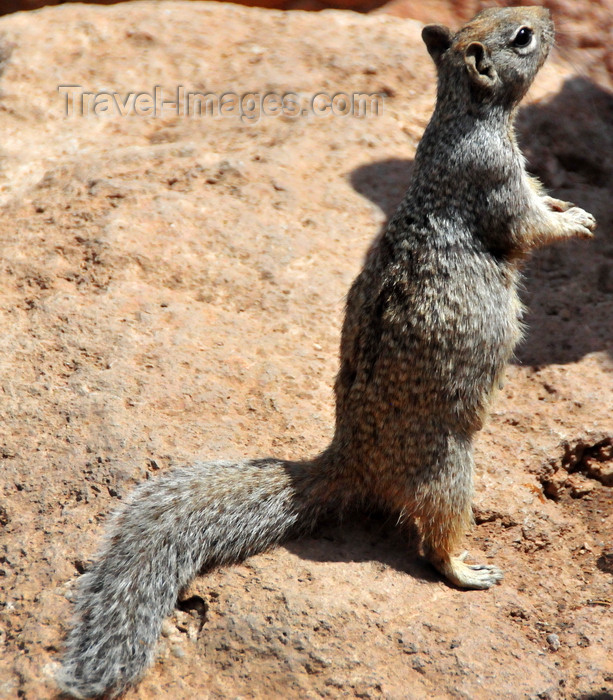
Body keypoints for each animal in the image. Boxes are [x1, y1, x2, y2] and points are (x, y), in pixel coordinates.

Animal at [56, 6, 592, 700]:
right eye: (521, 38)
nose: (548, 18)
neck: (461, 115)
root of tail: (347, 461)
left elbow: (541, 200)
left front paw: (567, 202)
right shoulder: (496, 180)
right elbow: (530, 226)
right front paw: (576, 221)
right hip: (450, 469)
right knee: (434, 540)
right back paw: (467, 570)